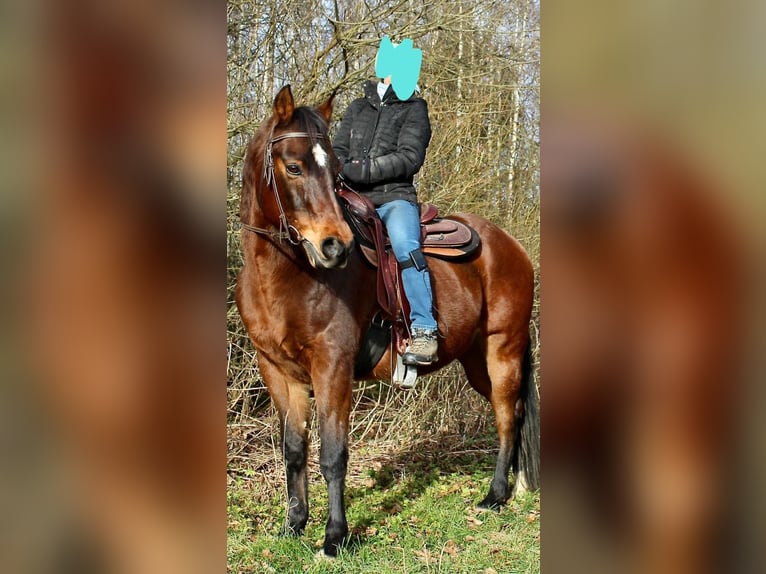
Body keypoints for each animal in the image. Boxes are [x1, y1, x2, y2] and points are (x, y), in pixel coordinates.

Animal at [234, 85, 540, 560]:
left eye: (336, 171)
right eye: (294, 167)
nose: (335, 246)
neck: (286, 276)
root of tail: (511, 245)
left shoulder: (332, 367)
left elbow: (333, 454)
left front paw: (334, 537)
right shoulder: (278, 371)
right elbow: (294, 450)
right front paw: (294, 526)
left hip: (502, 349)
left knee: (508, 416)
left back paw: (492, 497)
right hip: (475, 361)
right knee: (505, 410)